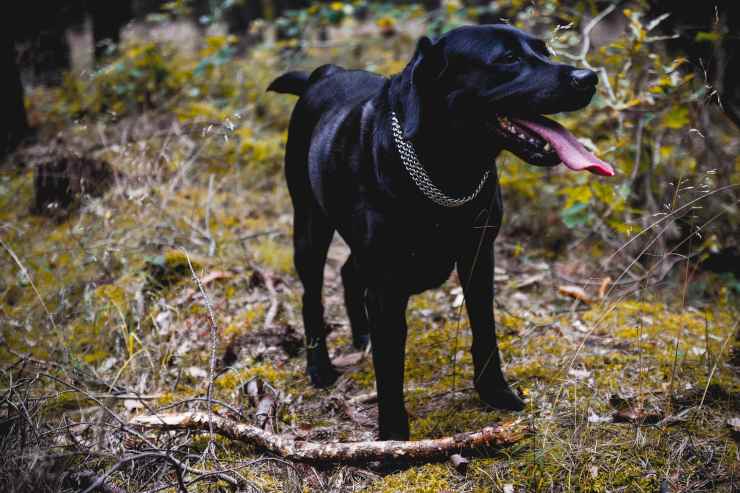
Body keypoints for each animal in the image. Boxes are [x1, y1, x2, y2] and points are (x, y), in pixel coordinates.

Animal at [268, 24, 616, 438]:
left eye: (544, 50)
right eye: (508, 58)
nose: (588, 78)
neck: (447, 169)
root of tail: (325, 73)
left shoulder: (479, 257)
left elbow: (485, 332)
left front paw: (495, 392)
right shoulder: (386, 285)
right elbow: (390, 368)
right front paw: (393, 437)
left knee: (349, 271)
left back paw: (361, 334)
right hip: (309, 224)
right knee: (312, 295)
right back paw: (319, 366)